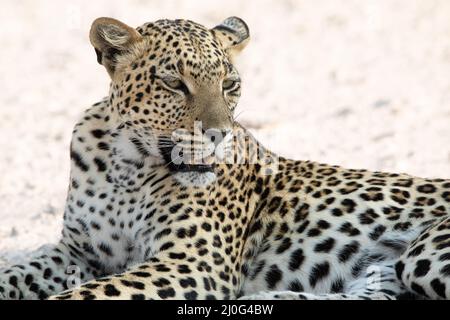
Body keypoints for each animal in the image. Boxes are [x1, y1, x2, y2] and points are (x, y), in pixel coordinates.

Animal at [0, 15, 448, 300]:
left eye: (230, 84)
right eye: (174, 83)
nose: (219, 136)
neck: (127, 167)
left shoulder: (193, 262)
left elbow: (88, 294)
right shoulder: (78, 252)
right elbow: (18, 273)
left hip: (423, 253)